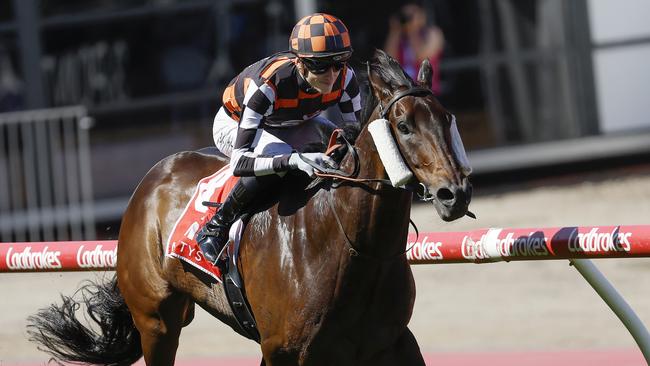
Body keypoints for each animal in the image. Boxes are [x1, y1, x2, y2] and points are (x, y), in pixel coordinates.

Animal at [27, 49, 468, 366]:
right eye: (404, 126)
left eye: (447, 118)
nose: (455, 193)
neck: (352, 245)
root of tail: (150, 182)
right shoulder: (284, 350)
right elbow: (248, 158)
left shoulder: (392, 342)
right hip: (156, 321)